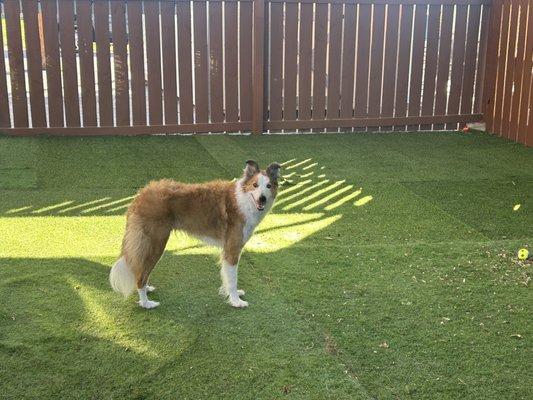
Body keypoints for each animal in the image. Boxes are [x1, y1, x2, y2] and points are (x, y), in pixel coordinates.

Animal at [108, 159, 278, 310]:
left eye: (268, 186)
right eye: (255, 185)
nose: (262, 199)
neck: (244, 199)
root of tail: (141, 195)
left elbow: (226, 277)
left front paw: (230, 294)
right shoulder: (232, 249)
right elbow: (233, 279)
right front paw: (236, 301)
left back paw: (147, 289)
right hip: (155, 244)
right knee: (141, 276)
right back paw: (146, 303)